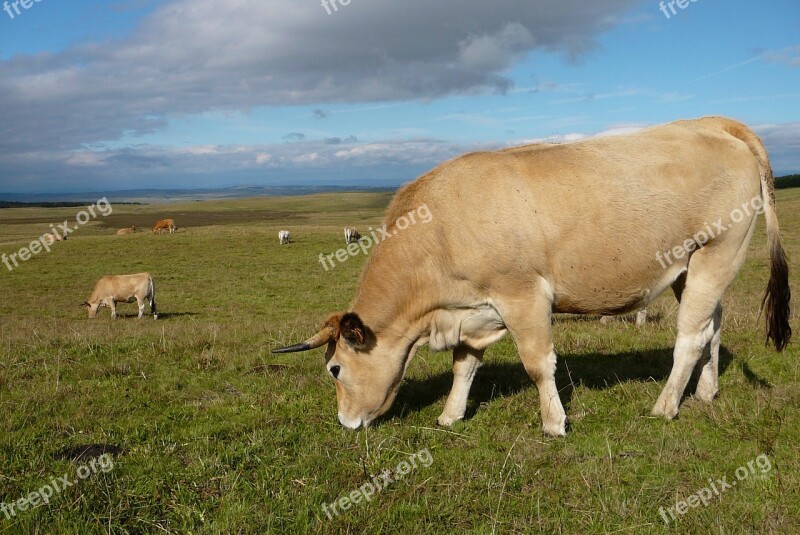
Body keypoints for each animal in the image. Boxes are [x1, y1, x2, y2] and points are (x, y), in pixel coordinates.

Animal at [272, 117, 792, 436]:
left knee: (690, 336)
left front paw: (553, 422)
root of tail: (711, 122)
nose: (345, 423)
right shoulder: (473, 310)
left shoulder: (522, 294)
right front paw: (450, 415)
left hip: (717, 252)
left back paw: (665, 406)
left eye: (335, 369)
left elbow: (539, 363)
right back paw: (706, 392)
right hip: (694, 268)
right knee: (713, 327)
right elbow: (463, 366)